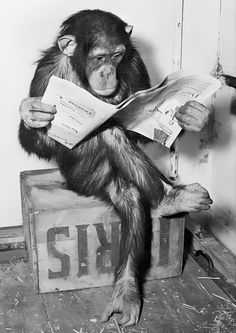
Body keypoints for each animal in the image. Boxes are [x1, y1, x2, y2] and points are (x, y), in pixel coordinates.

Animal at [19, 9, 213, 326]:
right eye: (99, 57)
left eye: (117, 55)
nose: (108, 71)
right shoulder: (46, 74)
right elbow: (40, 140)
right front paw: (32, 113)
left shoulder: (135, 62)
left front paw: (192, 115)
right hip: (86, 178)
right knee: (111, 141)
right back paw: (169, 200)